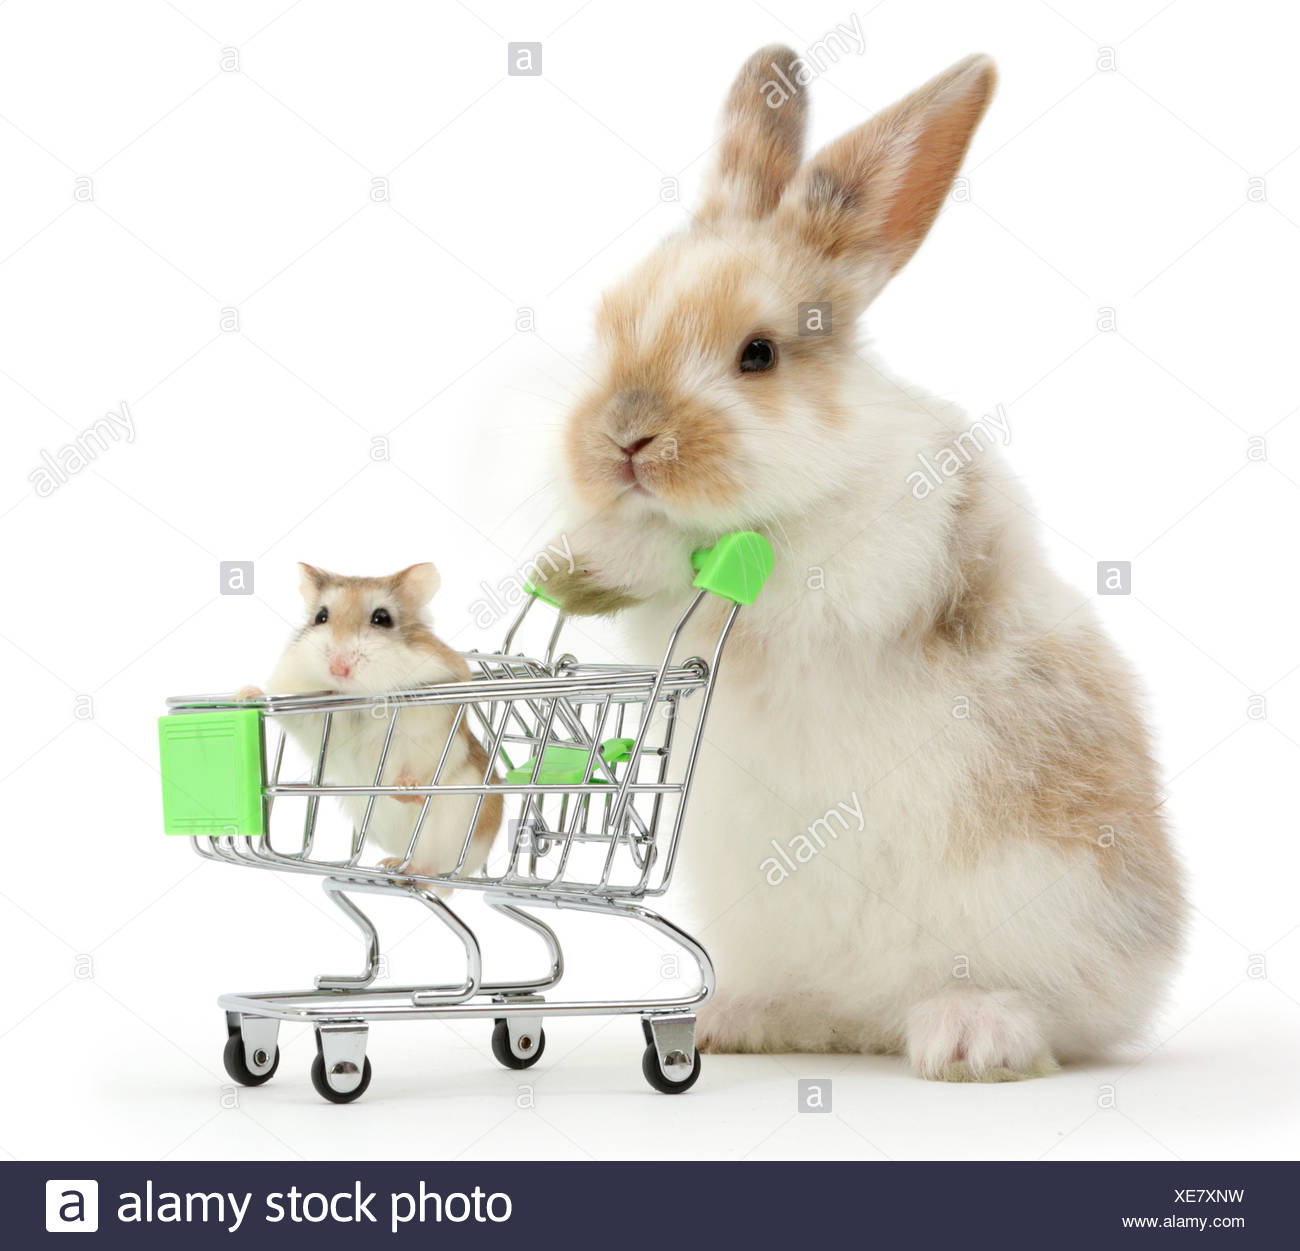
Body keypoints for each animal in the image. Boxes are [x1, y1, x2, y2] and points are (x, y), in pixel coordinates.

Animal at [538, 47, 1186, 1080]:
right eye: (610, 319)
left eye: (759, 354)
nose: (623, 440)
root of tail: (875, 1019)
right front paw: (579, 555)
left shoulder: (873, 560)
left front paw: (617, 547)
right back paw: (735, 1020)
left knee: (1046, 1013)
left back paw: (971, 1034)